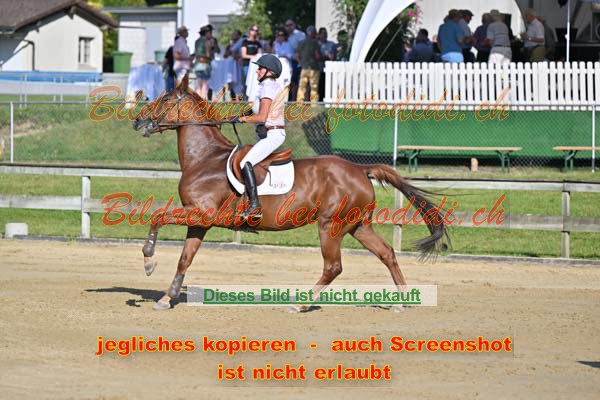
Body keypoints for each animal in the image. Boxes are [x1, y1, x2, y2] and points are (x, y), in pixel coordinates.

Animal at [132, 75, 449, 311]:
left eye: (164, 99)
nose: (137, 121)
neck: (204, 158)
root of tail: (360, 169)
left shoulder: (201, 213)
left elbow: (157, 217)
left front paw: (148, 262)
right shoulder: (199, 221)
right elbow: (185, 258)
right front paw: (167, 298)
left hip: (330, 225)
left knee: (333, 266)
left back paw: (302, 303)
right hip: (358, 224)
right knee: (386, 253)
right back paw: (401, 301)